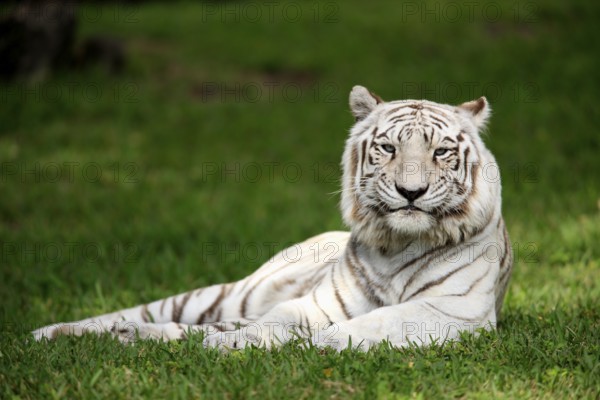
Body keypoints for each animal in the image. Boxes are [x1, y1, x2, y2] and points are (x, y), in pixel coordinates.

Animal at [31, 85, 510, 350]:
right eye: (388, 148)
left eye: (441, 152)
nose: (412, 192)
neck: (398, 243)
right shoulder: (317, 304)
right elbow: (279, 321)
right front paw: (233, 345)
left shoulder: (453, 312)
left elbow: (367, 325)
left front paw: (313, 346)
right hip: (229, 296)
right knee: (146, 312)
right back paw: (51, 333)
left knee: (172, 328)